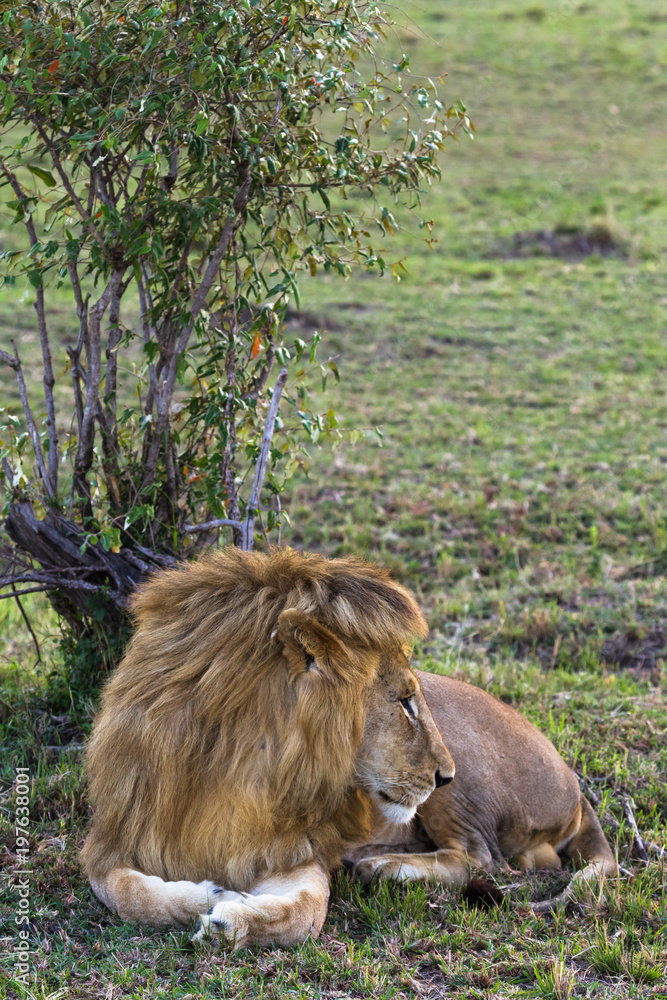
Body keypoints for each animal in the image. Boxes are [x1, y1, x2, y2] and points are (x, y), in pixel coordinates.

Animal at [81, 548, 616, 948]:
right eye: (404, 702)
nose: (447, 775)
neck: (235, 767)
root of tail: (575, 787)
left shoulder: (292, 852)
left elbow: (306, 912)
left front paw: (228, 917)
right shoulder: (113, 838)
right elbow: (125, 893)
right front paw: (210, 895)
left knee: (481, 857)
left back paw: (382, 867)